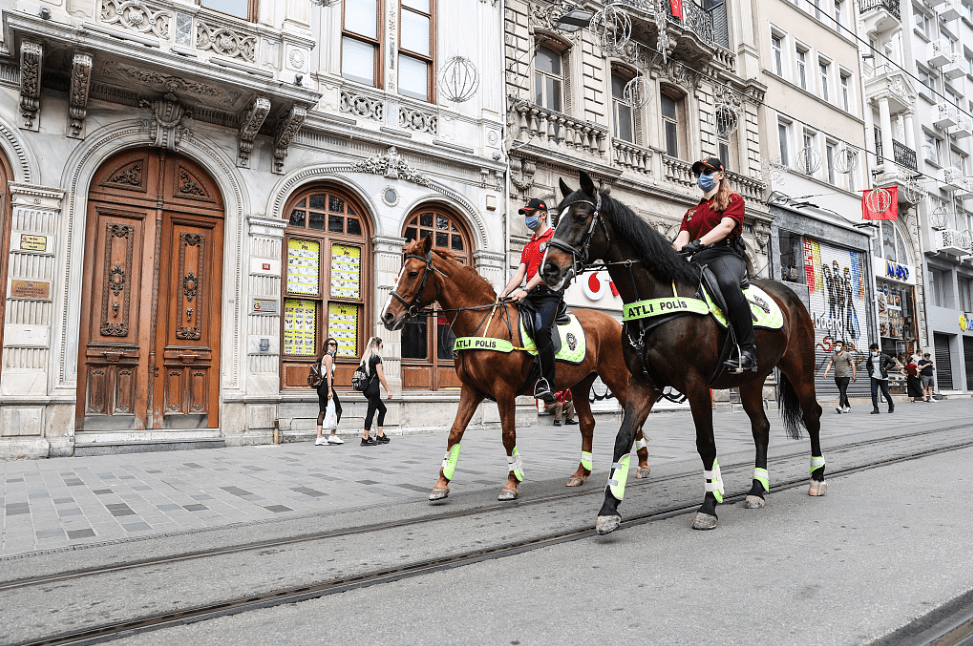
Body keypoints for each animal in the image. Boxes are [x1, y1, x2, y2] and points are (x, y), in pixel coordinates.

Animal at [378, 235, 644, 504]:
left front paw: (512, 482)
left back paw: (642, 465)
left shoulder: (504, 390)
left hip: (616, 378)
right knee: (587, 423)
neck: (483, 323)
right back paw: (581, 473)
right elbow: (455, 432)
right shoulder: (471, 390)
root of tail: (613, 322)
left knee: (634, 418)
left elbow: (508, 435)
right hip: (580, 384)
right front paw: (441, 483)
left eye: (412, 273)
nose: (387, 316)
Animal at [536, 170, 824, 536]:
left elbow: (706, 443)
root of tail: (789, 295)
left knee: (812, 415)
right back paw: (757, 490)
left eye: (581, 216)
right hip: (751, 380)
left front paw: (709, 505)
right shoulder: (643, 383)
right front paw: (609, 509)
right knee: (761, 427)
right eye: (554, 218)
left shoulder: (696, 385)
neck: (656, 297)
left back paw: (817, 478)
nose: (549, 269)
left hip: (799, 368)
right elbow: (623, 438)